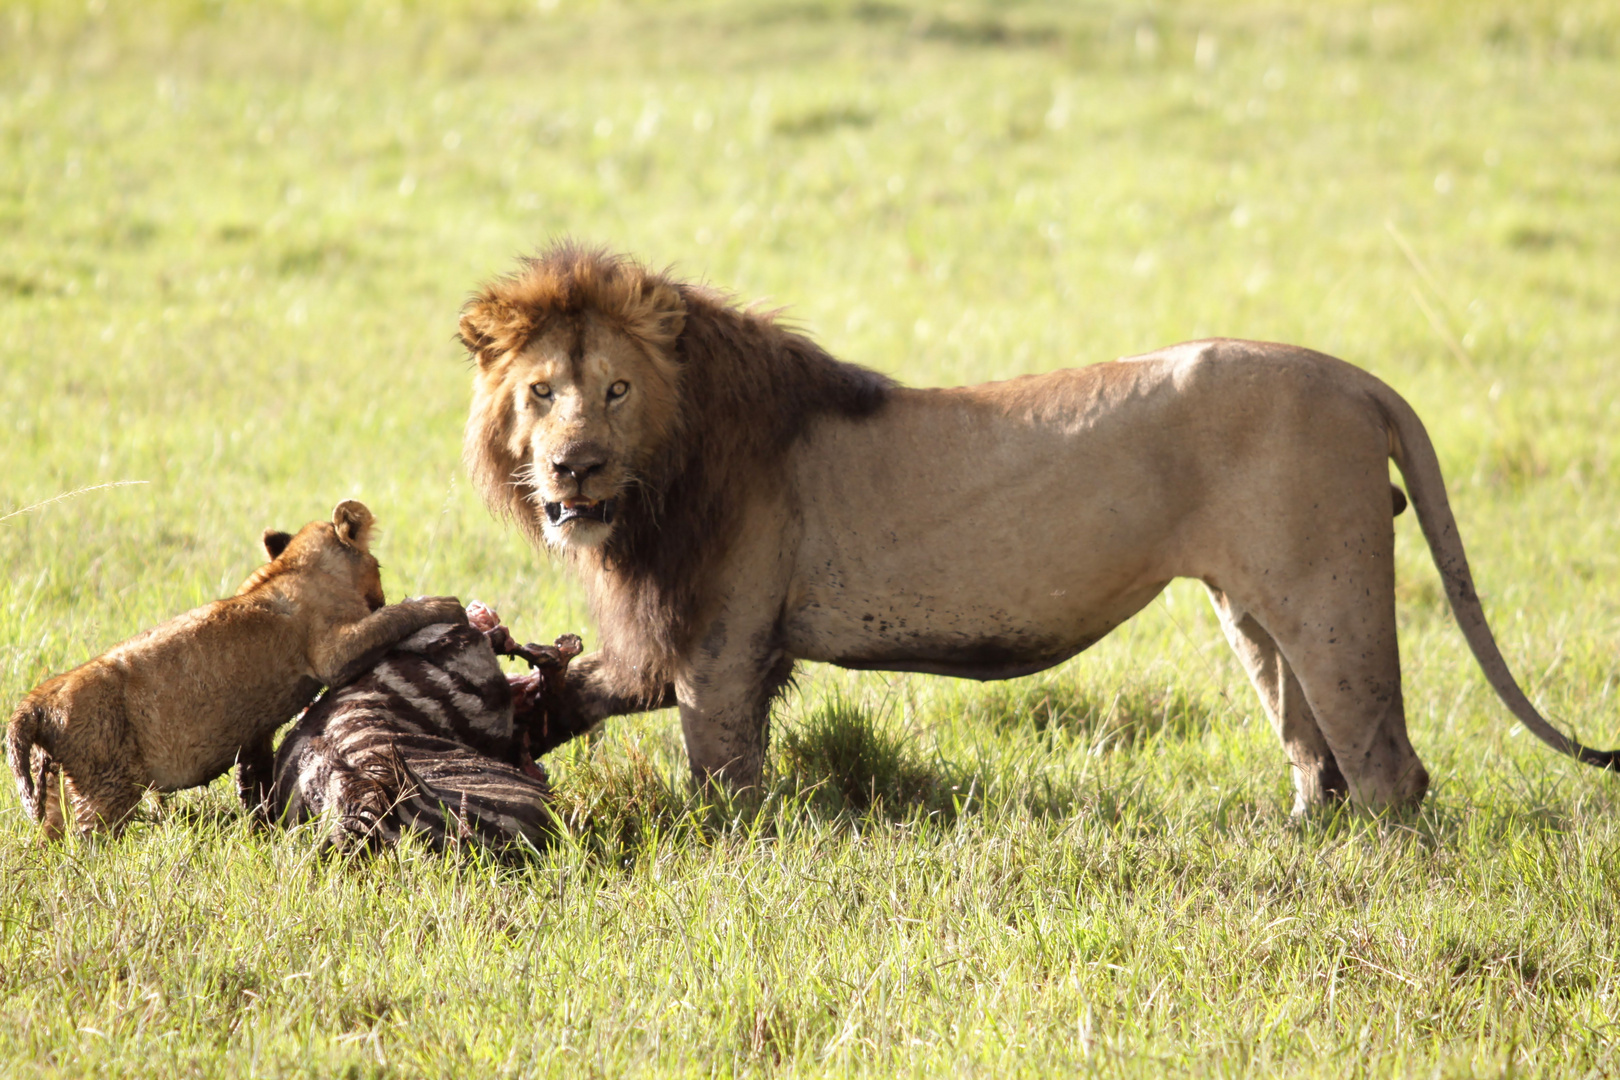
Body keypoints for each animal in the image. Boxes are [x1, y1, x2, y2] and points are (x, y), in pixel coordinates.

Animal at [11, 501, 469, 841]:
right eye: (379, 568)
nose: (382, 593)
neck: (296, 566)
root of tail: (37, 702)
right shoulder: (333, 651)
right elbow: (392, 619)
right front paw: (444, 605)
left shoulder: (256, 732)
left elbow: (255, 776)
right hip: (105, 787)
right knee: (90, 841)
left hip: (54, 782)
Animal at [460, 244, 1620, 809]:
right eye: (541, 393)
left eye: (615, 390)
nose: (572, 467)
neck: (660, 475)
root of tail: (1357, 377)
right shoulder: (682, 642)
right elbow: (588, 685)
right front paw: (510, 720)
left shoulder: (722, 642)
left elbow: (722, 783)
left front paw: (729, 856)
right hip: (1253, 609)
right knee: (1313, 753)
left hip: (1329, 591)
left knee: (1385, 767)